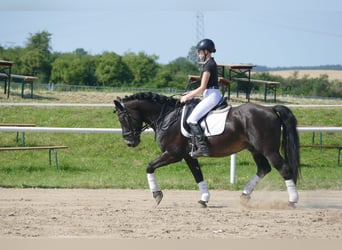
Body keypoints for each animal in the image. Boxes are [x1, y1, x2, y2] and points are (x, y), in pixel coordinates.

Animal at [114, 92, 300, 207]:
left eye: (123, 118)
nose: (129, 142)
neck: (167, 116)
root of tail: (270, 109)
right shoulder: (188, 156)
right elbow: (198, 175)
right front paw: (204, 199)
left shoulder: (173, 154)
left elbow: (150, 166)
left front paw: (157, 195)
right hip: (255, 149)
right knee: (263, 169)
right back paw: (244, 196)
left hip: (269, 150)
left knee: (284, 169)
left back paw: (292, 201)